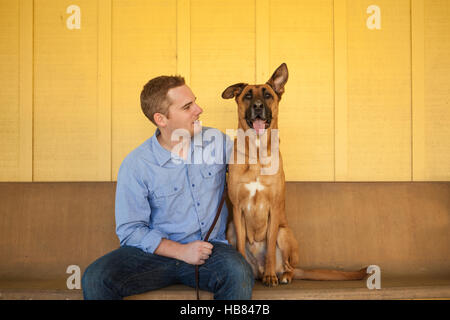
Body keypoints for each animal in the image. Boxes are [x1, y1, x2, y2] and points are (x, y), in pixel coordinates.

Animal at [221, 63, 366, 288]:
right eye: (247, 96)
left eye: (267, 95)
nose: (258, 106)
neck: (257, 153)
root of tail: (258, 270)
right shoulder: (237, 209)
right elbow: (241, 249)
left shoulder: (273, 209)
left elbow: (270, 248)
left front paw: (271, 276)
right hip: (231, 231)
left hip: (285, 233)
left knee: (287, 265)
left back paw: (282, 275)